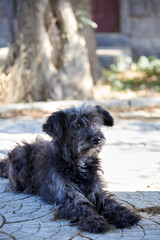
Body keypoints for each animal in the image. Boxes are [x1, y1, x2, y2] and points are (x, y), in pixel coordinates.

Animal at [0, 105, 140, 232]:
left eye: (94, 122)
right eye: (77, 125)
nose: (97, 139)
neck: (79, 162)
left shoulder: (95, 190)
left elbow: (109, 202)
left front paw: (124, 215)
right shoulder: (68, 193)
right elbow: (82, 205)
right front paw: (94, 220)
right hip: (19, 153)